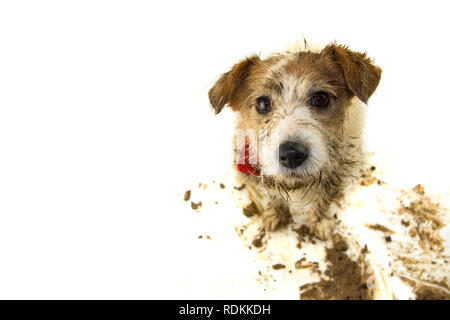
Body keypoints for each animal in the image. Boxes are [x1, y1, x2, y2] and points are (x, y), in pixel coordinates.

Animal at [207, 42, 380, 239]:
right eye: (263, 104)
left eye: (321, 99)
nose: (290, 154)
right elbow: (273, 196)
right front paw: (276, 215)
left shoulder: (335, 178)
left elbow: (323, 201)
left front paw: (318, 222)